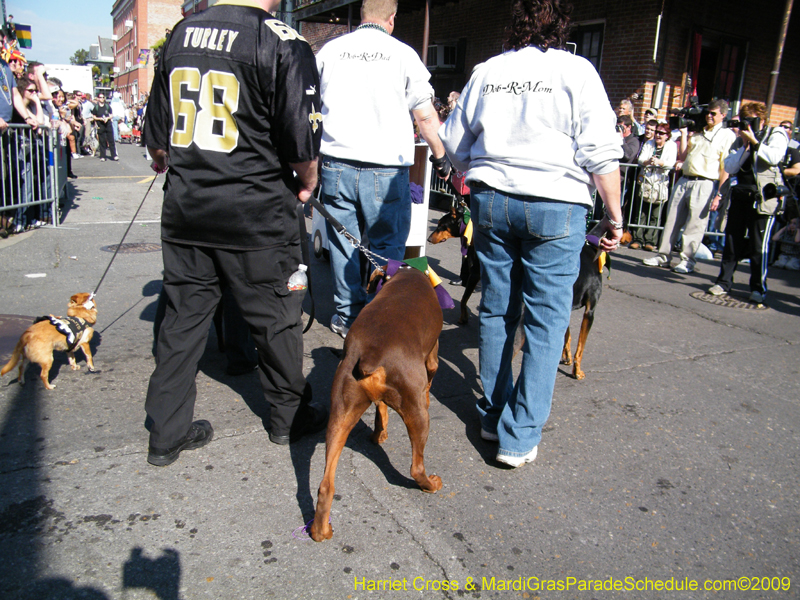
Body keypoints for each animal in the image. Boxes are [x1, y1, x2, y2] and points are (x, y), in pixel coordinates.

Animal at [310, 264, 444, 540]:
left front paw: (378, 433)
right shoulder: (432, 357)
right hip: (418, 414)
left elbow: (381, 408)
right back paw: (430, 485)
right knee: (416, 467)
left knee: (325, 485)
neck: (406, 271)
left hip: (341, 411)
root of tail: (371, 353)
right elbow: (430, 380)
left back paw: (320, 531)